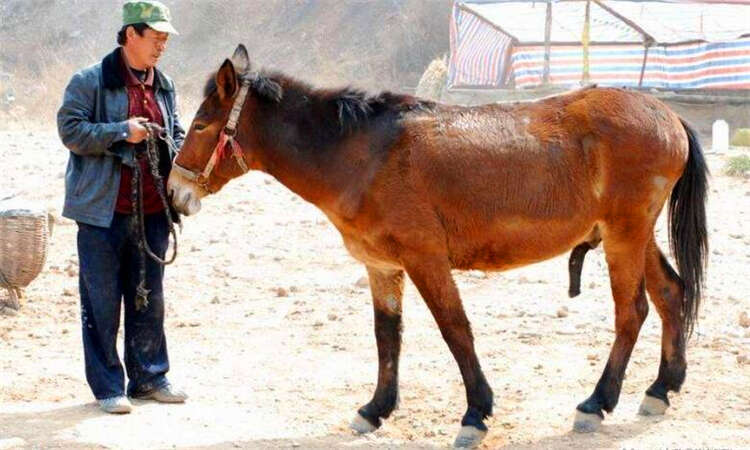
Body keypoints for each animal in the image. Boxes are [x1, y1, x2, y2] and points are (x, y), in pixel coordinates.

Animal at [167, 45, 708, 448]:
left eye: (200, 125)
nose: (174, 192)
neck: (363, 155)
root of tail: (667, 113)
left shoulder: (425, 260)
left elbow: (455, 330)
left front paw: (475, 413)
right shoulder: (382, 266)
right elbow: (387, 336)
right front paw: (376, 409)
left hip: (624, 235)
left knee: (632, 311)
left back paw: (597, 402)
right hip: (635, 235)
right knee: (670, 294)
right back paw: (662, 387)